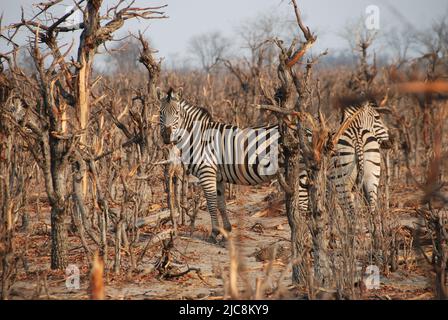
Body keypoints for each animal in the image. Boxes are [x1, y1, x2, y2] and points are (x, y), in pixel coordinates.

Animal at [158, 87, 312, 242]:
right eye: (160, 113)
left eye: (177, 114)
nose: (166, 136)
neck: (198, 138)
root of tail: (309, 131)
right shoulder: (217, 176)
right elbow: (221, 204)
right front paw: (226, 231)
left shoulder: (207, 171)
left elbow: (211, 204)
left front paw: (214, 233)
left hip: (301, 173)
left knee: (302, 208)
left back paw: (302, 238)